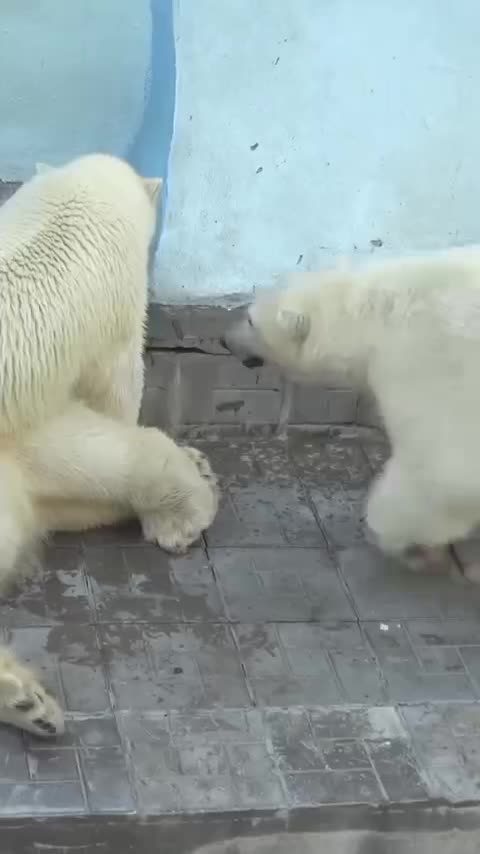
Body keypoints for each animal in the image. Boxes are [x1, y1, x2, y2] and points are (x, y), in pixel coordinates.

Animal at [222, 248, 480, 577]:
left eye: (251, 320)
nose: (223, 339)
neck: (375, 315)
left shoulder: (426, 366)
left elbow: (444, 471)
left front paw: (387, 532)